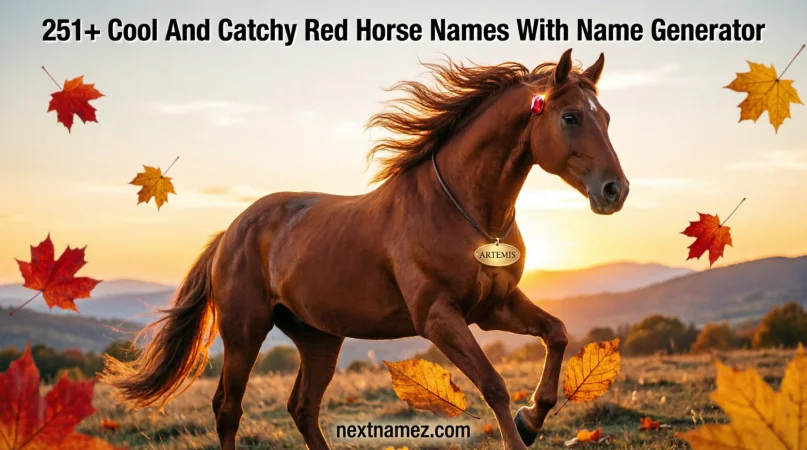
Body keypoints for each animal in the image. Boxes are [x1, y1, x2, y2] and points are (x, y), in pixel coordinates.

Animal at [102, 48, 629, 450]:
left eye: (605, 116)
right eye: (570, 116)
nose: (615, 191)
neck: (461, 210)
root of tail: (231, 233)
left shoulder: (492, 307)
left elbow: (557, 332)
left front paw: (532, 418)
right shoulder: (439, 317)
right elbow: (493, 384)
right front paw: (521, 426)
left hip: (318, 337)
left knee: (302, 407)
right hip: (244, 331)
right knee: (228, 408)